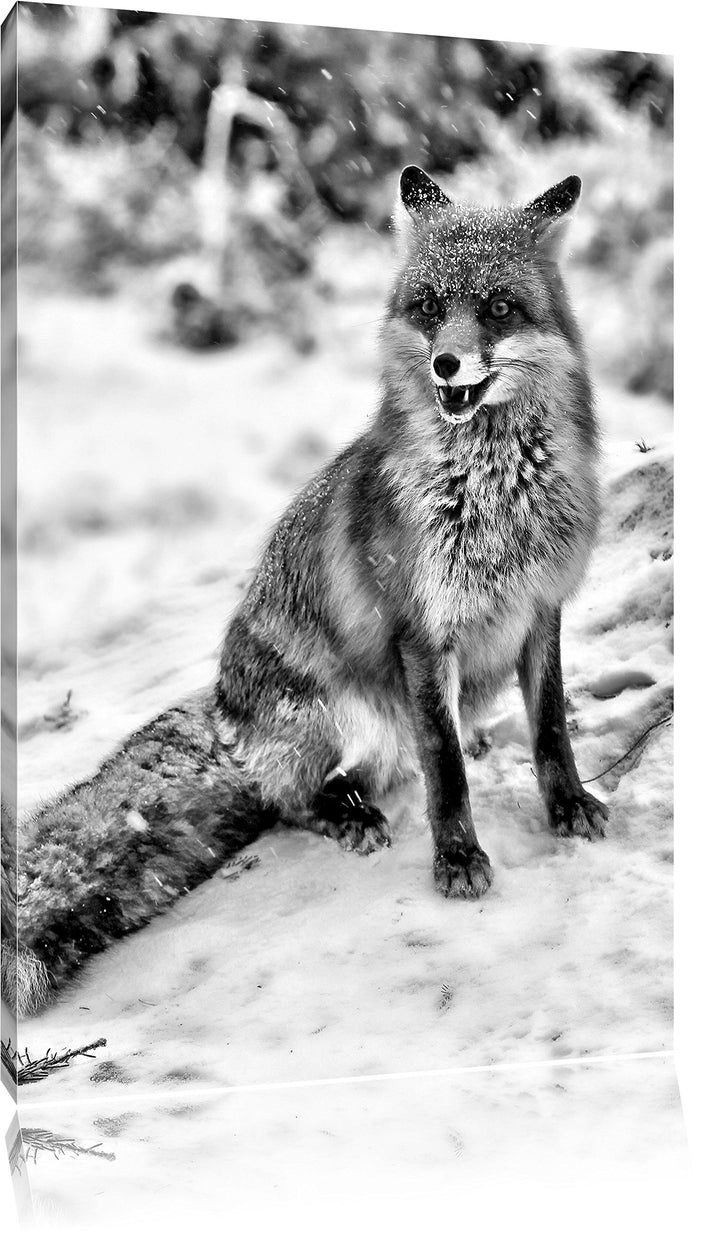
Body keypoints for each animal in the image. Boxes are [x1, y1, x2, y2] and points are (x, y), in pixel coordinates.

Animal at [3, 165, 608, 1016]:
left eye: (496, 308)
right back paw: (345, 815)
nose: (446, 366)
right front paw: (457, 858)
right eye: (429, 307)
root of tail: (221, 710)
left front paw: (567, 806)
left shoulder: (540, 609)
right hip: (342, 710)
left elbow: (551, 729)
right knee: (291, 797)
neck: (493, 496)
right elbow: (448, 772)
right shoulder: (422, 633)